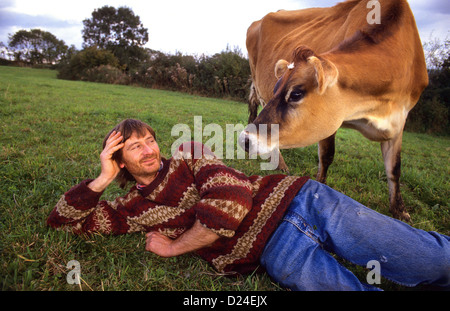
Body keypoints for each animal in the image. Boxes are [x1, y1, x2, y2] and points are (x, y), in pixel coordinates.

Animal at [237, 0, 428, 222]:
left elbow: (394, 168)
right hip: (259, 88)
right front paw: (321, 189)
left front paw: (400, 211)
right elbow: (327, 156)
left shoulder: (399, 120)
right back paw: (281, 164)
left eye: (296, 93)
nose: (244, 139)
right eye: (278, 88)